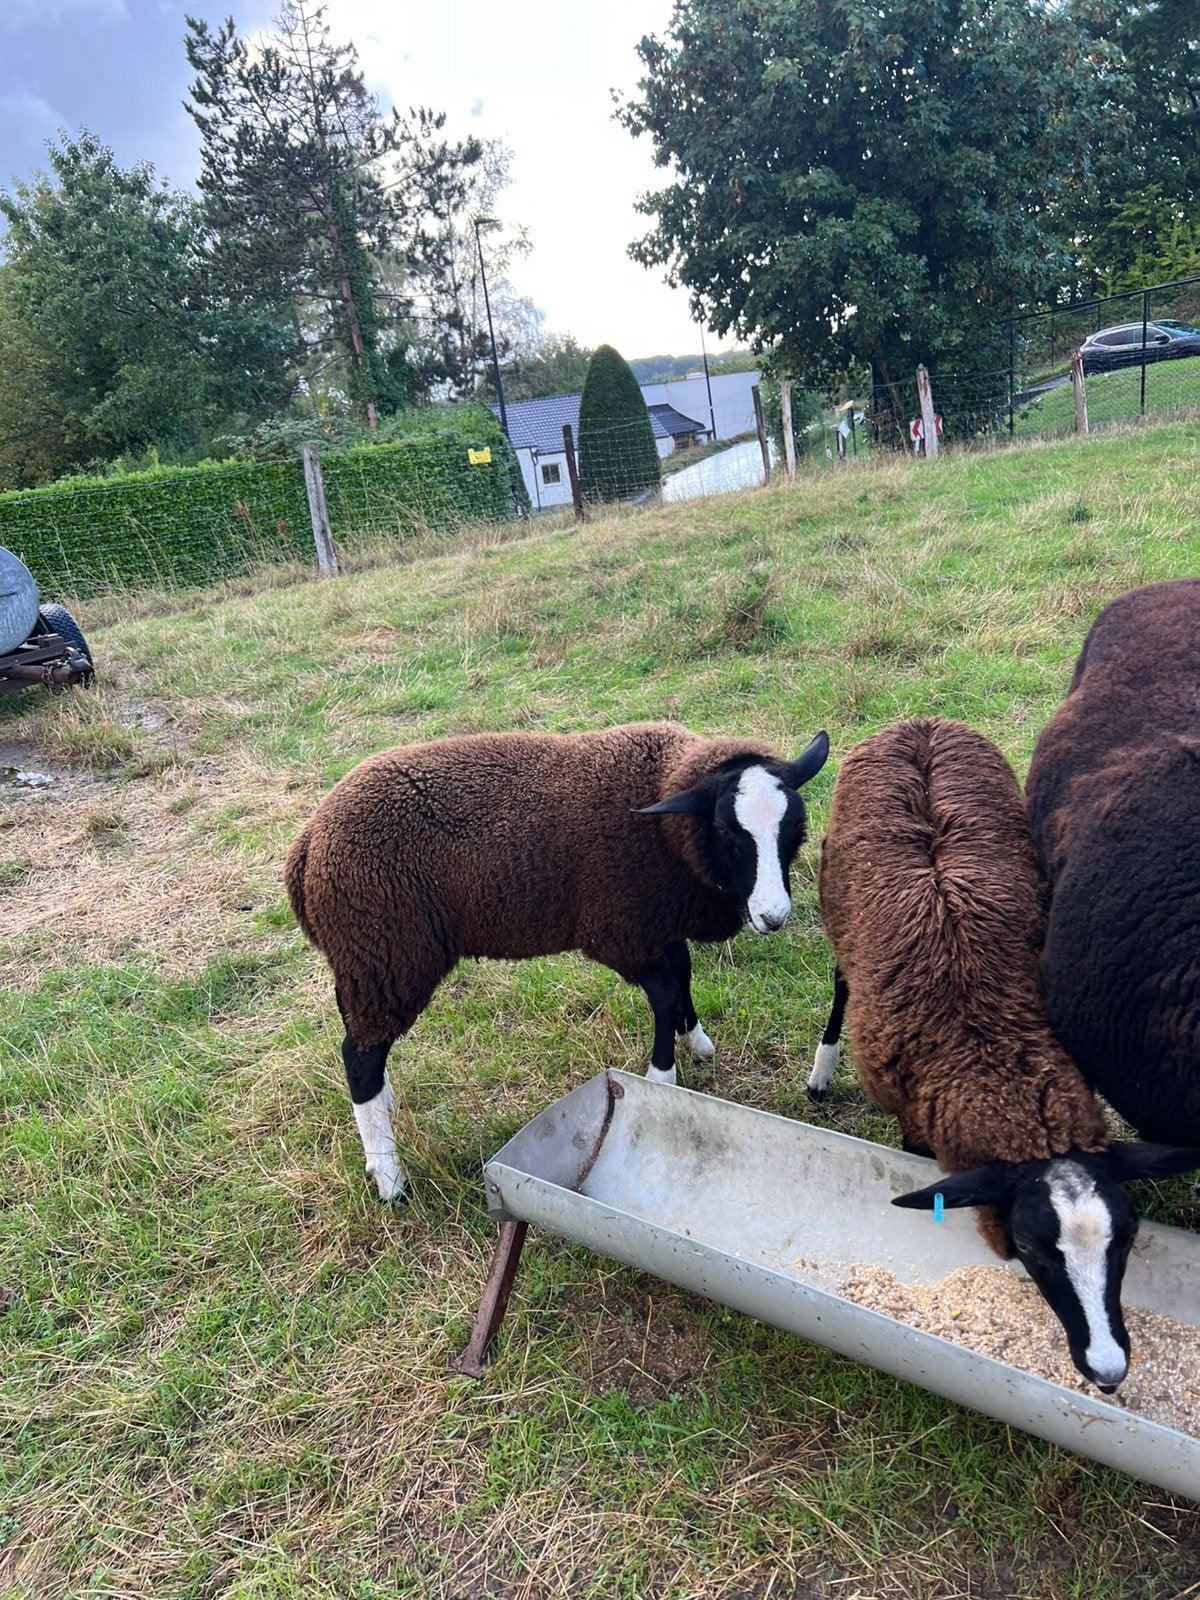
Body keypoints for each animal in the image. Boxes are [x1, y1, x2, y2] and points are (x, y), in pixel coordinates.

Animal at [285, 720, 829, 1202]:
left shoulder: (656, 923)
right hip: (387, 955)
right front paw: (662, 1078)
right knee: (360, 1058)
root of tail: (306, 846)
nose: (774, 916)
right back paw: (390, 1179)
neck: (665, 828)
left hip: (367, 960)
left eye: (794, 825)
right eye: (725, 829)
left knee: (366, 1047)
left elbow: (682, 975)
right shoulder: (617, 933)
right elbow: (665, 994)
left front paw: (696, 1042)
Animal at [805, 716, 1200, 1391]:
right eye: (1035, 1248)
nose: (1109, 1370)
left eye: (1126, 1239)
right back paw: (822, 1070)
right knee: (839, 981)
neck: (985, 1044)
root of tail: (919, 721)